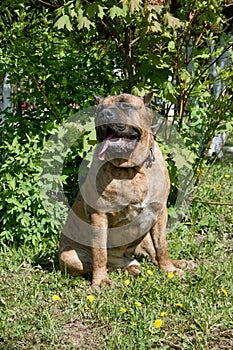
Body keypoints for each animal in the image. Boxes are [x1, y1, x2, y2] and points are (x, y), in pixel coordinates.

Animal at [58, 93, 193, 288]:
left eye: (126, 105)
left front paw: (170, 270)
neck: (131, 169)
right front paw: (100, 281)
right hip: (69, 256)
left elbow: (162, 247)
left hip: (145, 234)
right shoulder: (99, 216)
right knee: (100, 264)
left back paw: (178, 263)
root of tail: (126, 258)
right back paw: (128, 269)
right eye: (99, 109)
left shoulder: (159, 211)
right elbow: (100, 253)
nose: (105, 114)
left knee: (153, 255)